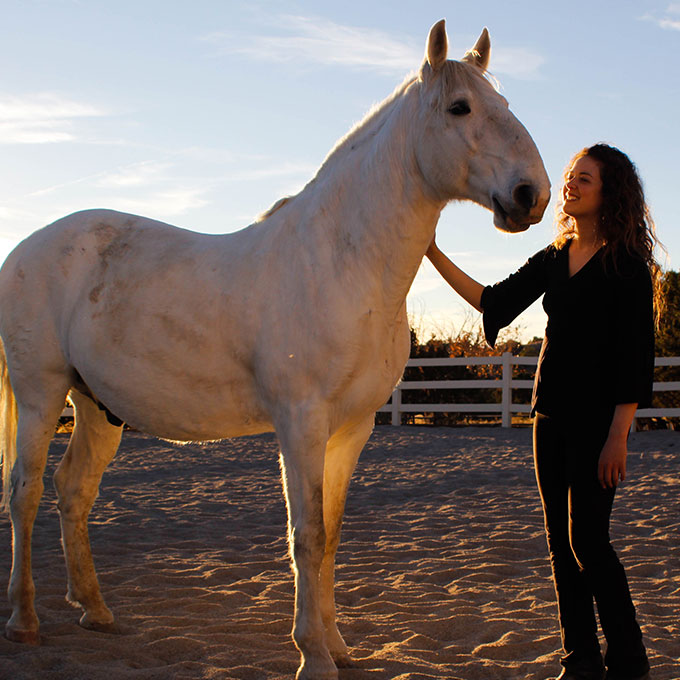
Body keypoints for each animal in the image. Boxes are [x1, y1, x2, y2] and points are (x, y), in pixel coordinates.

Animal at [0, 21, 548, 680]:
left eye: (505, 103)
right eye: (460, 107)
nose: (532, 194)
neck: (341, 261)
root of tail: (26, 248)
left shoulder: (352, 428)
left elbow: (330, 533)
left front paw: (337, 645)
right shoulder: (301, 422)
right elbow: (305, 534)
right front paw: (312, 654)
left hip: (95, 407)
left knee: (73, 492)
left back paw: (95, 610)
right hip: (40, 394)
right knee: (25, 494)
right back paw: (24, 620)